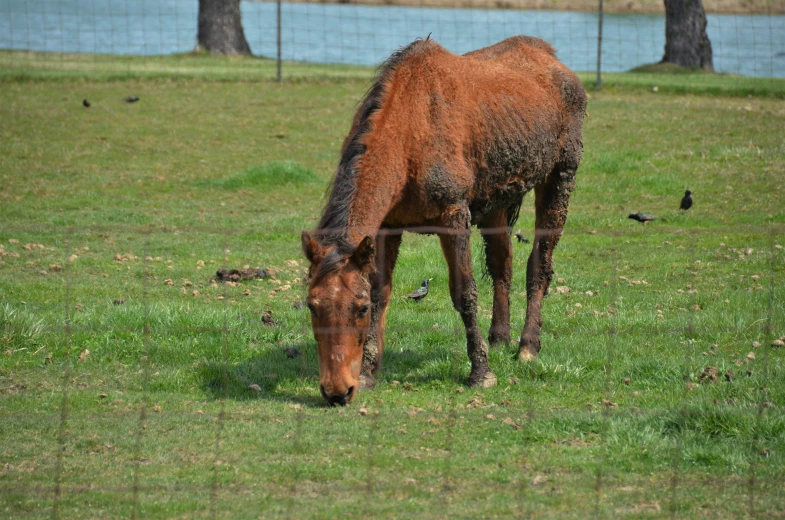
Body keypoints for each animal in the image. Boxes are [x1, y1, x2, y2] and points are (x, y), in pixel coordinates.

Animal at [304, 35, 584, 406]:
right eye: (312, 306)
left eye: (358, 309)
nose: (337, 391)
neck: (411, 134)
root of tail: (554, 60)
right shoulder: (387, 226)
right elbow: (382, 291)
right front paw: (367, 372)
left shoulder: (454, 215)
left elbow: (465, 292)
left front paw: (481, 372)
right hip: (497, 202)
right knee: (503, 263)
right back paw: (499, 336)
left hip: (559, 179)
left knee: (538, 264)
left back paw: (527, 346)